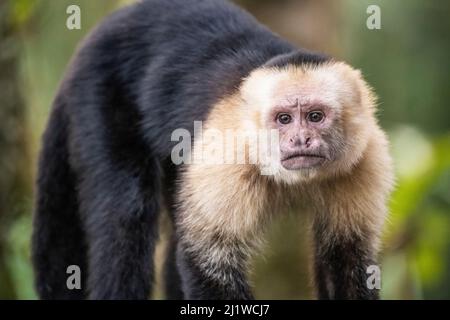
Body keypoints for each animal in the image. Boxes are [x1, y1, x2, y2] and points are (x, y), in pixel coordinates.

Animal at [31, 0, 392, 300]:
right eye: (284, 119)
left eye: (315, 116)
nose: (300, 140)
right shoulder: (226, 156)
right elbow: (208, 260)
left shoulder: (367, 158)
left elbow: (346, 260)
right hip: (97, 93)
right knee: (125, 217)